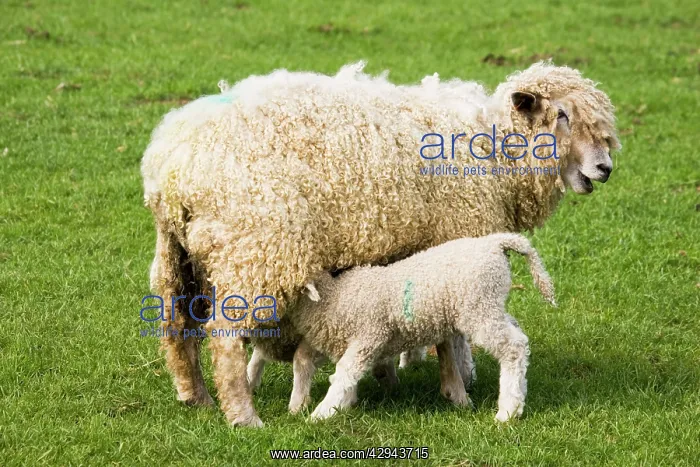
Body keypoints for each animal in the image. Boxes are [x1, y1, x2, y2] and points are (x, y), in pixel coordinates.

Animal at [277, 233, 555, 421]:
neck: (332, 296)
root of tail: (495, 243)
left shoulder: (369, 336)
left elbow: (345, 373)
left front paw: (321, 414)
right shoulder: (335, 339)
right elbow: (304, 359)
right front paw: (301, 405)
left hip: (479, 308)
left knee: (513, 347)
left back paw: (508, 410)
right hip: (491, 306)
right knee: (519, 335)